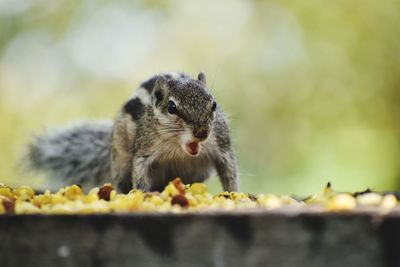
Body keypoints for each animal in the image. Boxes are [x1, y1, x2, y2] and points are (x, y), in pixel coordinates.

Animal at [26, 71, 239, 193]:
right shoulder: (144, 149)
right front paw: (143, 194)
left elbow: (229, 172)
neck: (178, 148)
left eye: (214, 104)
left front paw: (234, 194)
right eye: (171, 107)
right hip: (120, 163)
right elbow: (140, 172)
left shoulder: (222, 146)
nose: (202, 133)